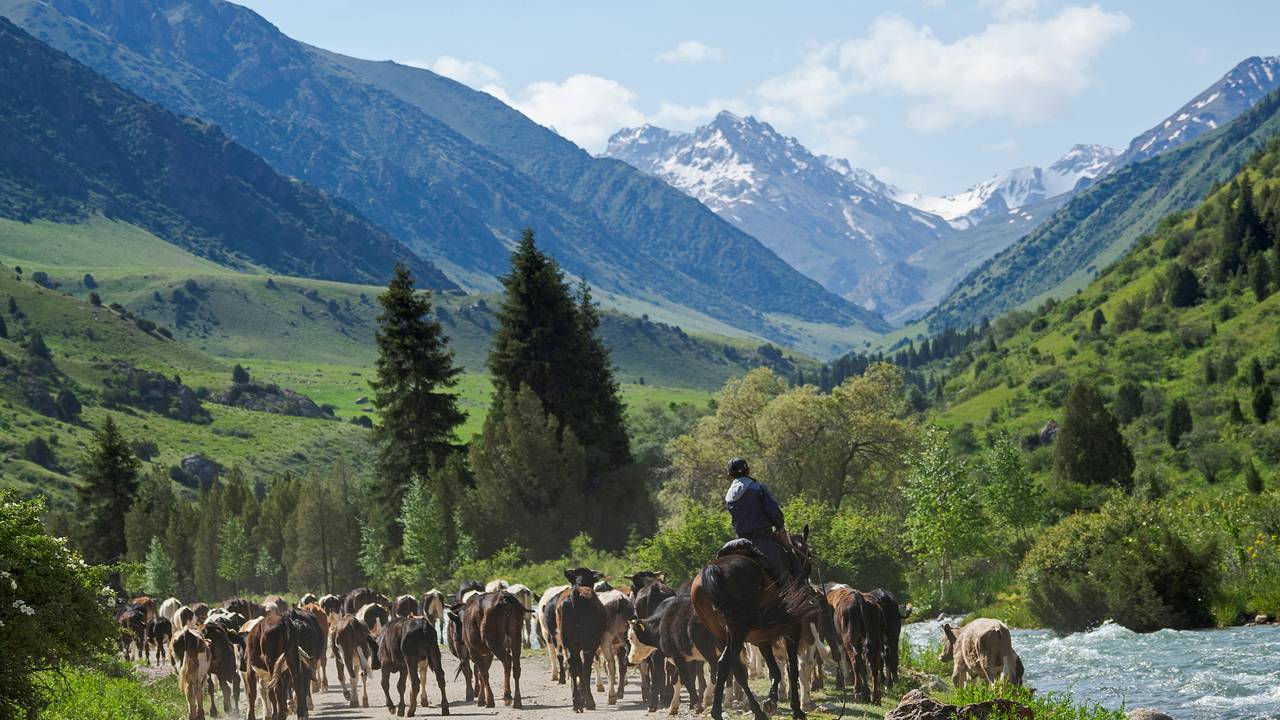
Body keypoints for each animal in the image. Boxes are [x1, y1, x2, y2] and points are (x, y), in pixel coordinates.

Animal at [691, 527, 819, 717]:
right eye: (807, 553)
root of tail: (713, 569)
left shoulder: (762, 639)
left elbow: (775, 671)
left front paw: (771, 702)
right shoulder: (792, 630)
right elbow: (792, 669)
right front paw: (796, 709)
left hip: (721, 634)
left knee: (736, 669)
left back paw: (756, 711)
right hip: (737, 632)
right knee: (726, 664)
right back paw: (719, 711)